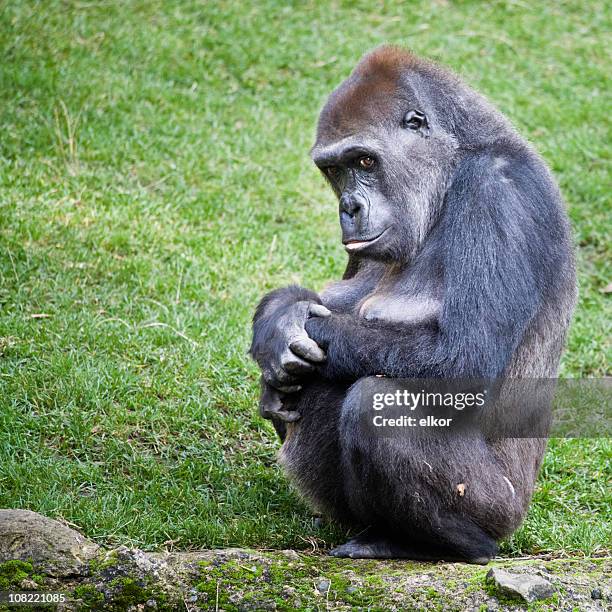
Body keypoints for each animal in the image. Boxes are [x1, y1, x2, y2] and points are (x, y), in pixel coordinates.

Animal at [249, 46, 572, 564]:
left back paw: (447, 543)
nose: (349, 208)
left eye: (365, 160)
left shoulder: (500, 192)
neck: (455, 164)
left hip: (502, 509)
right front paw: (278, 322)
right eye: (335, 170)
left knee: (372, 401)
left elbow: (463, 359)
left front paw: (289, 331)